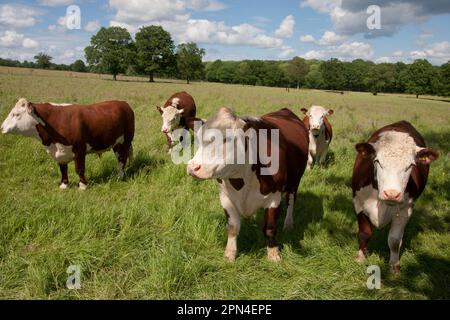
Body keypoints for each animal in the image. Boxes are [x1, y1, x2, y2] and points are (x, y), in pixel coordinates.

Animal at [0, 97, 134, 190]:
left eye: (16, 114)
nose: (1, 128)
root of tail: (123, 103)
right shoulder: (60, 152)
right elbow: (63, 169)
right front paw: (64, 185)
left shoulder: (80, 149)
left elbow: (79, 169)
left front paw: (82, 186)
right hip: (116, 144)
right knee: (120, 158)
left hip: (126, 141)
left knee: (122, 160)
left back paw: (120, 177)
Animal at [186, 107, 310, 262]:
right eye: (198, 139)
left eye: (227, 139)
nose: (192, 167)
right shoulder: (225, 196)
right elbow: (233, 227)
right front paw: (230, 254)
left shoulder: (274, 196)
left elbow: (270, 227)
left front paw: (273, 253)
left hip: (295, 181)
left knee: (290, 201)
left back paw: (288, 224)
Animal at [354, 120, 438, 272]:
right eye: (377, 161)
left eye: (411, 165)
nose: (392, 194)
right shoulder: (358, 203)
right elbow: (364, 233)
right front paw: (360, 258)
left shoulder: (405, 211)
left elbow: (394, 240)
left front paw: (394, 266)